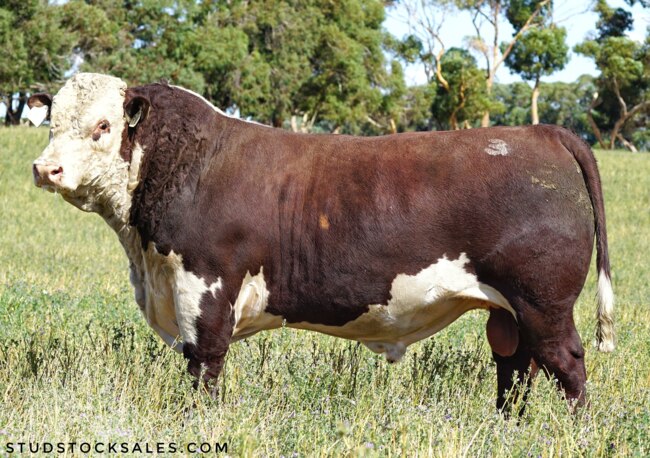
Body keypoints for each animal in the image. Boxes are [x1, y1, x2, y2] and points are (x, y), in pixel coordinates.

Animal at [26, 73, 612, 410]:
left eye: (103, 126)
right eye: (51, 121)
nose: (44, 168)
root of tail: (540, 132)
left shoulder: (206, 287)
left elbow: (204, 368)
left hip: (543, 302)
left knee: (567, 364)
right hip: (510, 310)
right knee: (516, 367)